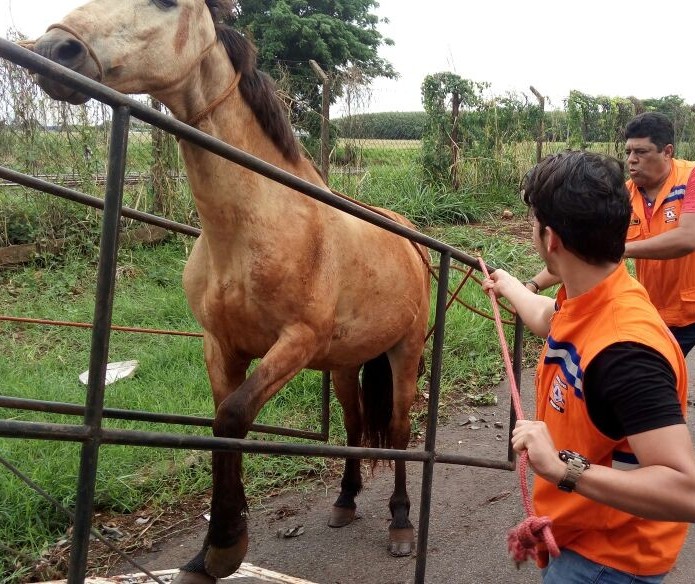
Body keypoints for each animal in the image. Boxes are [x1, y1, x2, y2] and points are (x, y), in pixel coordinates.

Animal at [31, 2, 430, 580]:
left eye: (168, 4)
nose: (54, 49)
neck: (260, 222)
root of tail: (413, 240)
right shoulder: (221, 346)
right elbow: (221, 426)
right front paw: (208, 553)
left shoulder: (295, 343)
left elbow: (233, 417)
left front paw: (224, 546)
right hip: (344, 362)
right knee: (355, 424)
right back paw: (345, 499)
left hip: (404, 351)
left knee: (398, 431)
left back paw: (400, 522)